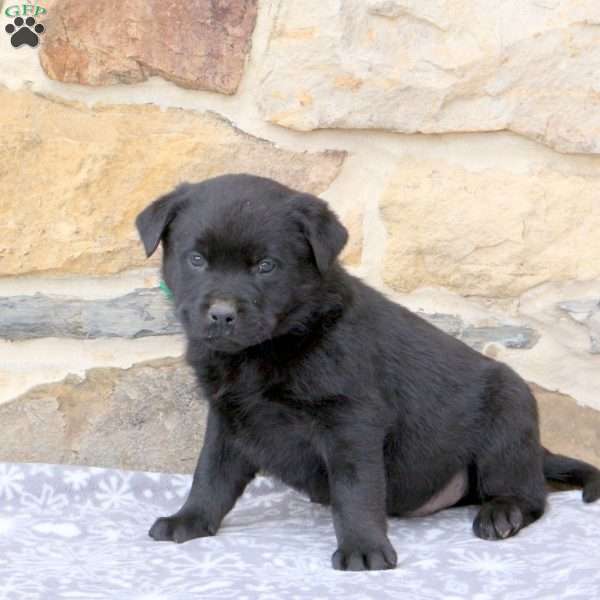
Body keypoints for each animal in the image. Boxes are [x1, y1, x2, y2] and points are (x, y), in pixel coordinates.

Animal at [136, 175, 600, 572]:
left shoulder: (350, 421)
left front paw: (363, 549)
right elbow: (210, 475)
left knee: (531, 494)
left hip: (509, 416)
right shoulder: (229, 419)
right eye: (197, 260)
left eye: (266, 266)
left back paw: (502, 513)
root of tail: (537, 449)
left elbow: (355, 490)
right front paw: (189, 519)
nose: (221, 314)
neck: (269, 348)